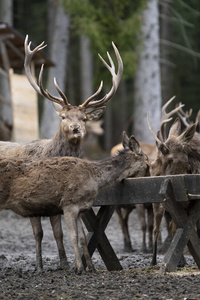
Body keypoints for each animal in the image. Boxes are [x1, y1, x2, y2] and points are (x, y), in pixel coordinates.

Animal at [0, 35, 123, 272]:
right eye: (64, 116)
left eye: (84, 118)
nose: (76, 129)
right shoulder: (31, 201)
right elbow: (39, 233)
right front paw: (39, 266)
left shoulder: (56, 203)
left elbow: (60, 234)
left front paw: (65, 264)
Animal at [0, 132, 150, 274]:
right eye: (148, 164)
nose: (150, 178)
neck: (94, 179)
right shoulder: (69, 204)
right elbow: (73, 236)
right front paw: (79, 268)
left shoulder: (80, 209)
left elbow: (83, 238)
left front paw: (91, 268)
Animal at [148, 114, 200, 264]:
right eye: (161, 158)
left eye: (170, 159)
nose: (153, 171)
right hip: (159, 205)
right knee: (157, 229)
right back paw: (154, 261)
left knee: (173, 227)